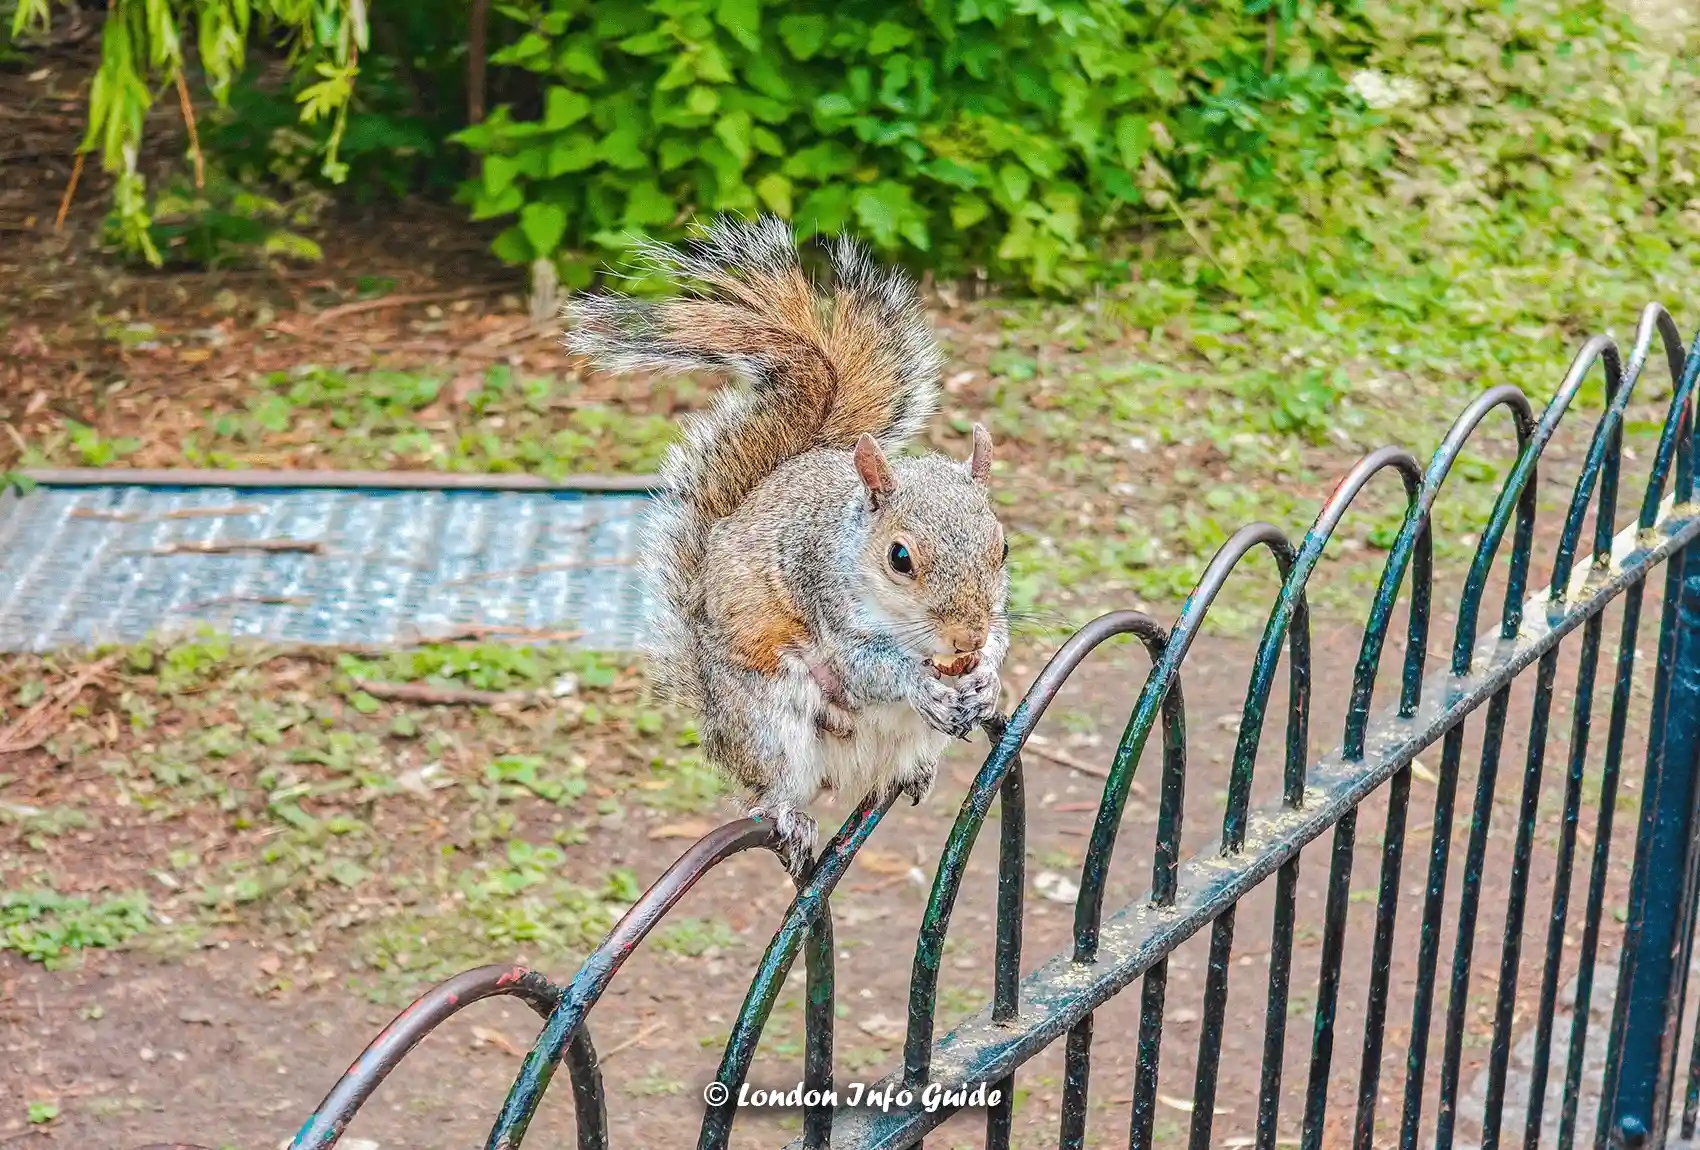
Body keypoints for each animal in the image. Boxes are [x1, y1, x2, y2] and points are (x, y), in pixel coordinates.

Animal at [565, 215, 1010, 876]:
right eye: (900, 558)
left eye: (1002, 547)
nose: (965, 639)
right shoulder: (823, 592)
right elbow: (866, 667)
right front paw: (918, 680)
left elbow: (1001, 637)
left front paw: (988, 675)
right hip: (769, 719)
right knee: (774, 783)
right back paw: (788, 814)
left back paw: (918, 769)